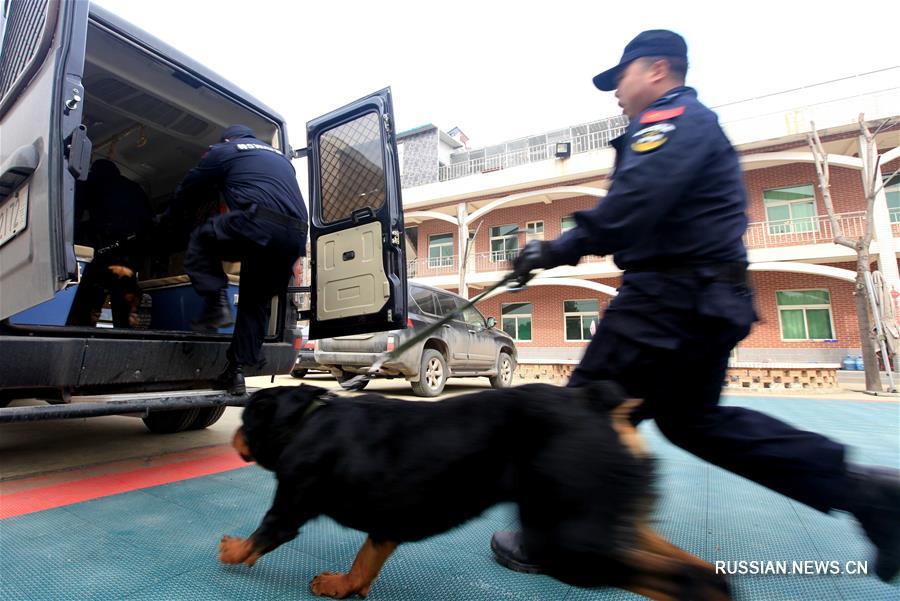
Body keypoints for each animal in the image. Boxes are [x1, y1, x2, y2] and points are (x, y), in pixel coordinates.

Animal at [220, 382, 732, 596]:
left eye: (246, 420)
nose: (233, 436)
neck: (306, 419)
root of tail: (599, 404)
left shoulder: (291, 501)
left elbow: (263, 535)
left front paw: (232, 550)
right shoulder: (389, 522)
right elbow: (365, 561)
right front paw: (344, 586)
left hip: (566, 539)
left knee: (690, 579)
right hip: (607, 522)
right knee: (705, 573)